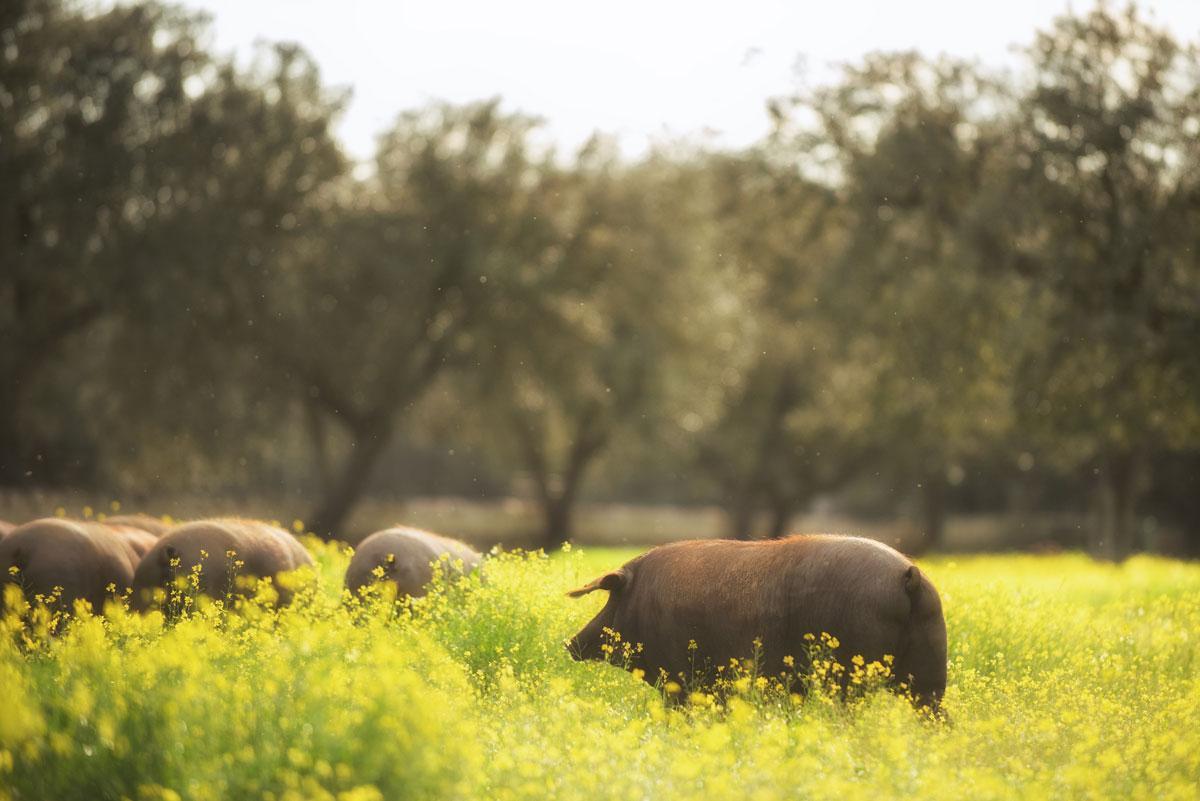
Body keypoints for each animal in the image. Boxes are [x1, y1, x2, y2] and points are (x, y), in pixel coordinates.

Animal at [561, 534, 945, 709]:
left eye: (612, 597)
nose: (570, 643)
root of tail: (908, 576)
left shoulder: (679, 678)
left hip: (852, 672)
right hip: (931, 669)